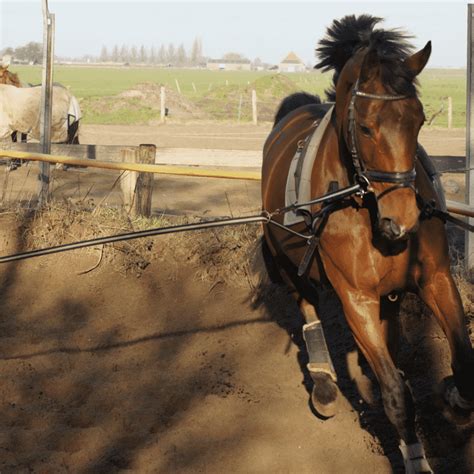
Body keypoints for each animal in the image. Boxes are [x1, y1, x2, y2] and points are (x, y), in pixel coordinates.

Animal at [262, 14, 474, 474]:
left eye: (419, 120)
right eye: (364, 126)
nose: (403, 220)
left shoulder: (434, 279)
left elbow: (465, 362)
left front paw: (453, 396)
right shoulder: (354, 298)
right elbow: (395, 392)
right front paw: (415, 458)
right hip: (292, 268)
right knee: (309, 310)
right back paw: (324, 382)